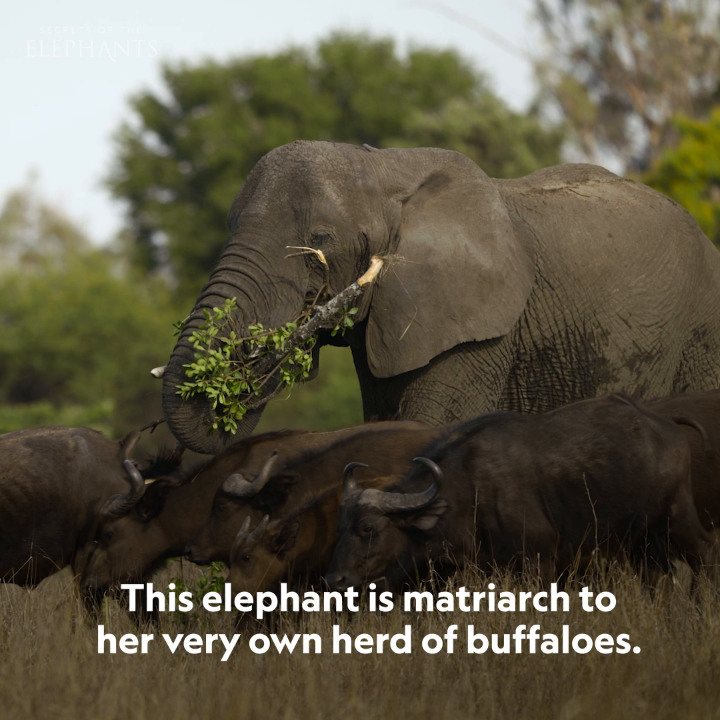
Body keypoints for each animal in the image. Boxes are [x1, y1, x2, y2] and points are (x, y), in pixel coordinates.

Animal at [326, 394, 713, 591]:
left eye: (369, 529)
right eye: (341, 528)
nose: (335, 579)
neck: (468, 492)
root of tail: (664, 424)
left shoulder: (539, 561)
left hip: (677, 519)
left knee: (707, 555)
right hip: (639, 543)